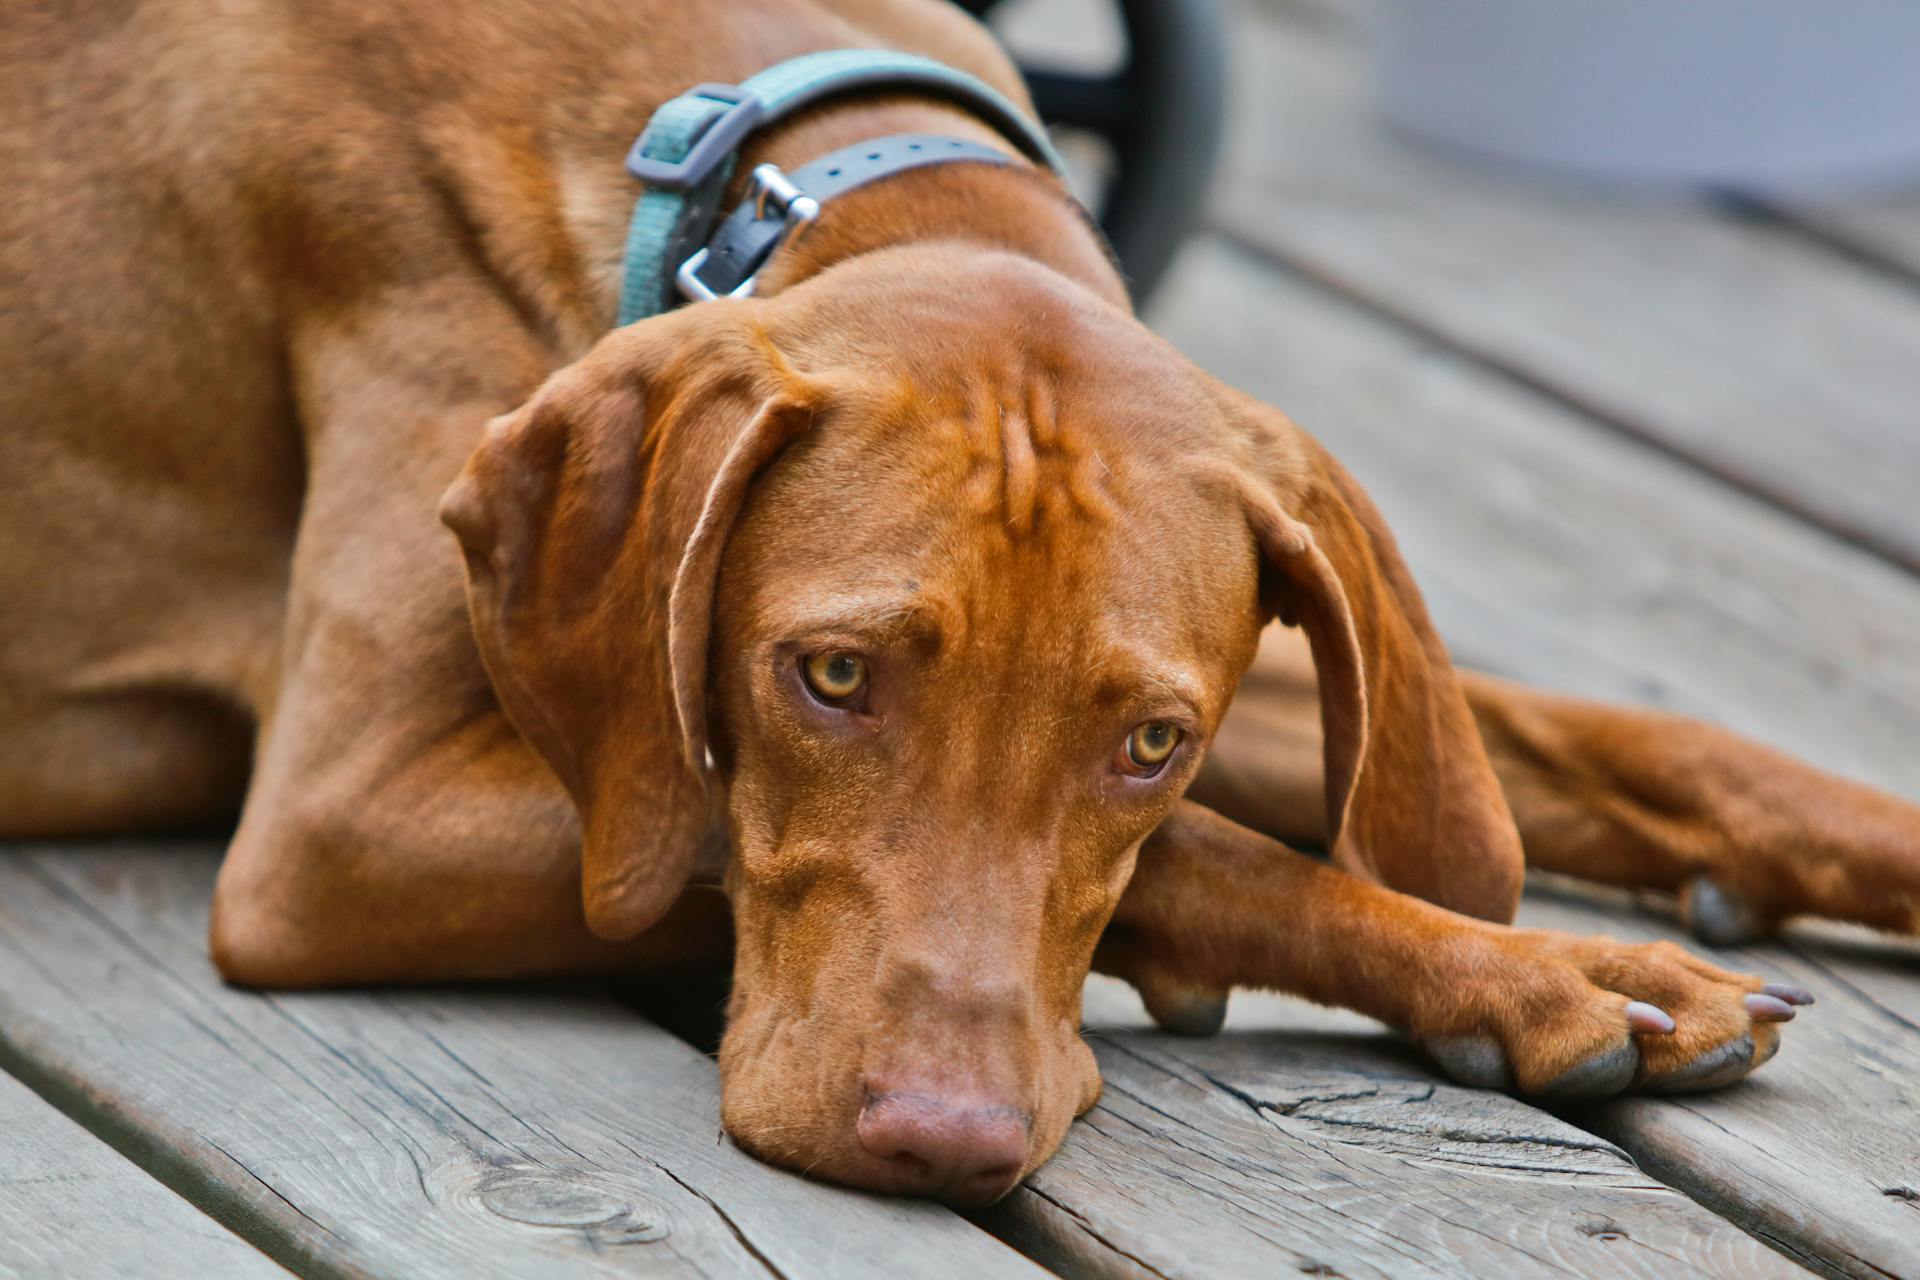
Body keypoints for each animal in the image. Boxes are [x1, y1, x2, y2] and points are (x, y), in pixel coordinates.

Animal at [7, 0, 1912, 1212]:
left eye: (1151, 740)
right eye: (832, 676)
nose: (941, 1143)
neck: (769, 146)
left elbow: (1575, 736)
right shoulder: (337, 826)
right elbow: (1222, 863)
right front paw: (1540, 971)